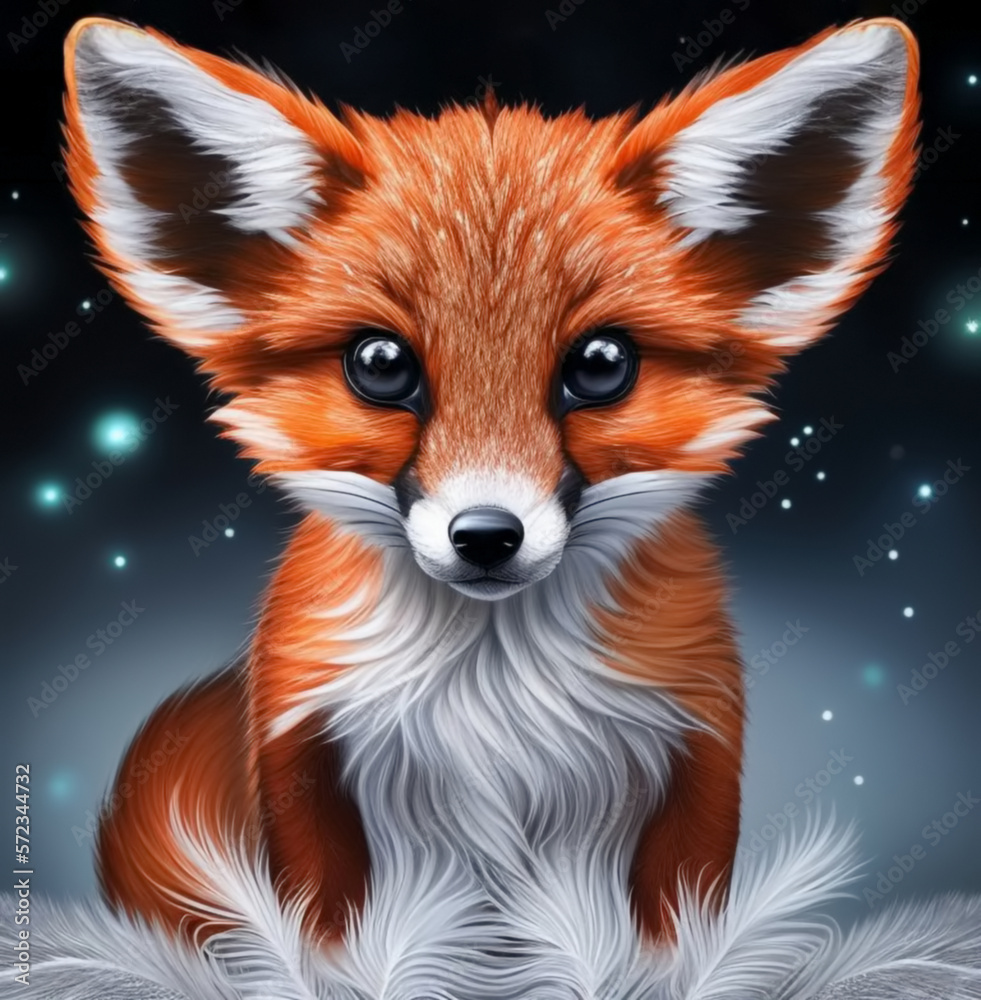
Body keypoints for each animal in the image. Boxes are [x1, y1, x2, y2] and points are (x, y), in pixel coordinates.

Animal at [62, 15, 919, 996]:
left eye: (600, 364)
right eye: (381, 364)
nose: (485, 537)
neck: (491, 702)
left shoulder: (699, 763)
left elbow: (670, 943)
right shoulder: (298, 757)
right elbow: (330, 941)